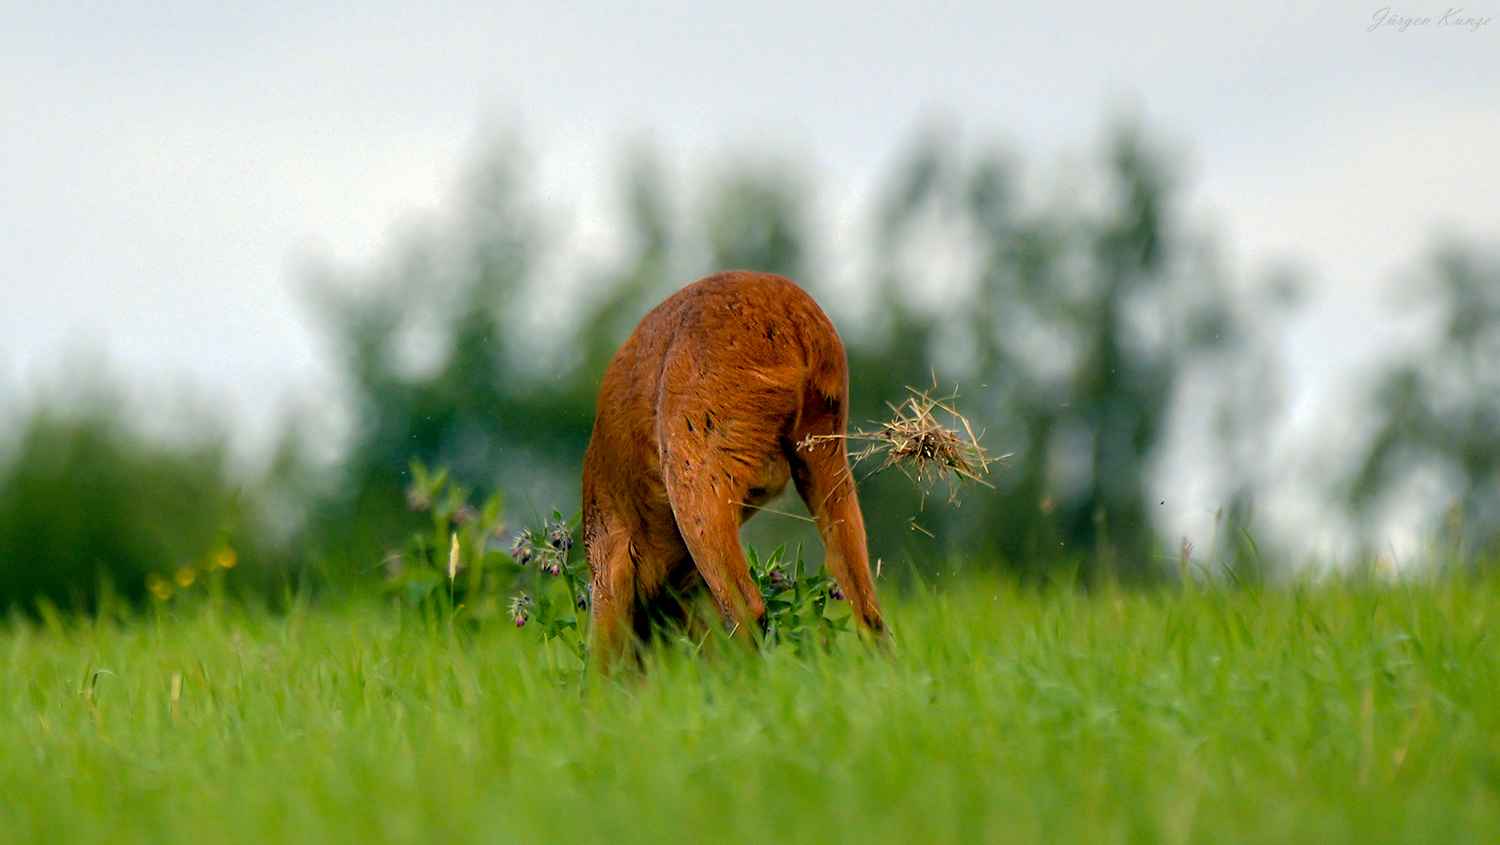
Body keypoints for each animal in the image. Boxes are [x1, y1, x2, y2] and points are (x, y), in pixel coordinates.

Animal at [579, 271, 882, 669]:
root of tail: (791, 316)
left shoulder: (611, 559)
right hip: (825, 451)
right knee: (866, 603)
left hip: (694, 464)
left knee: (747, 605)